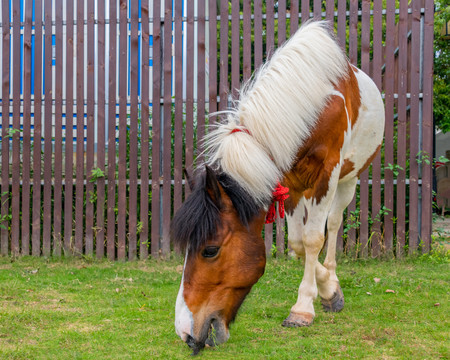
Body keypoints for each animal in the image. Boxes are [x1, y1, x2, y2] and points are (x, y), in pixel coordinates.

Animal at [171, 21, 384, 354]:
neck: (309, 103)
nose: (185, 331)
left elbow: (313, 239)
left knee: (334, 225)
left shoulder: (328, 174)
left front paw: (306, 306)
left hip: (348, 180)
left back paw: (331, 278)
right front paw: (323, 288)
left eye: (210, 250)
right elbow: (298, 243)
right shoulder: (291, 184)